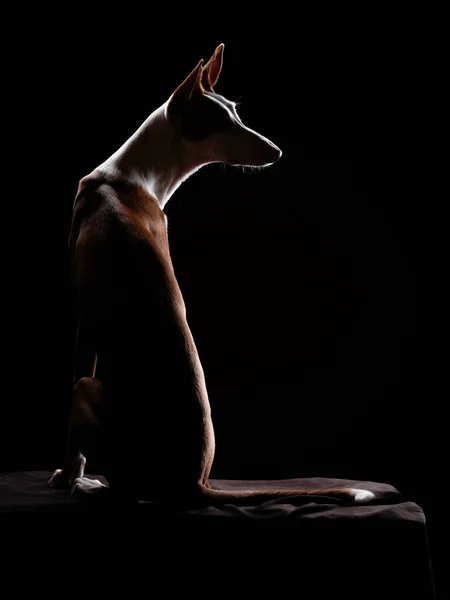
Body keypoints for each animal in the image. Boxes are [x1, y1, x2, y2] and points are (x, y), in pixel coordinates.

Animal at [47, 42, 374, 506]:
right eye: (223, 120)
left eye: (236, 113)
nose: (276, 151)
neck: (131, 178)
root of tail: (194, 482)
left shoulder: (85, 321)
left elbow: (73, 441)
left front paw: (67, 473)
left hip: (86, 391)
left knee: (123, 489)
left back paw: (87, 485)